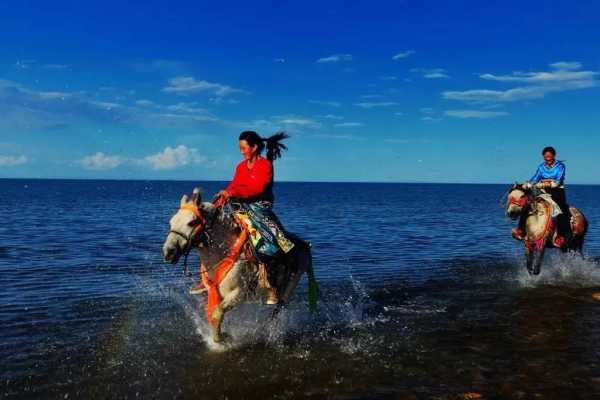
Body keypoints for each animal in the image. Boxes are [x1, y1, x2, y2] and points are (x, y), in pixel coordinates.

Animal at [164, 189, 314, 342]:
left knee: (278, 312)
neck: (224, 253)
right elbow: (214, 314)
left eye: (192, 222)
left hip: (289, 288)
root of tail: (305, 245)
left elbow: (217, 312)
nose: (168, 251)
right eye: (171, 222)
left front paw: (220, 338)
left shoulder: (238, 294)